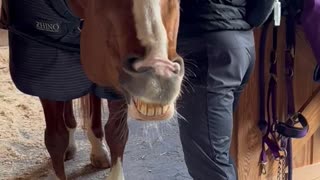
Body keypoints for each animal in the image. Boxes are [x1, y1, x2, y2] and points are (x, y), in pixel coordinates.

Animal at [1, 0, 184, 180]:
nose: (158, 80)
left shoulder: (110, 77)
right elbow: (55, 140)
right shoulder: (47, 80)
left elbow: (116, 133)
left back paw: (98, 151)